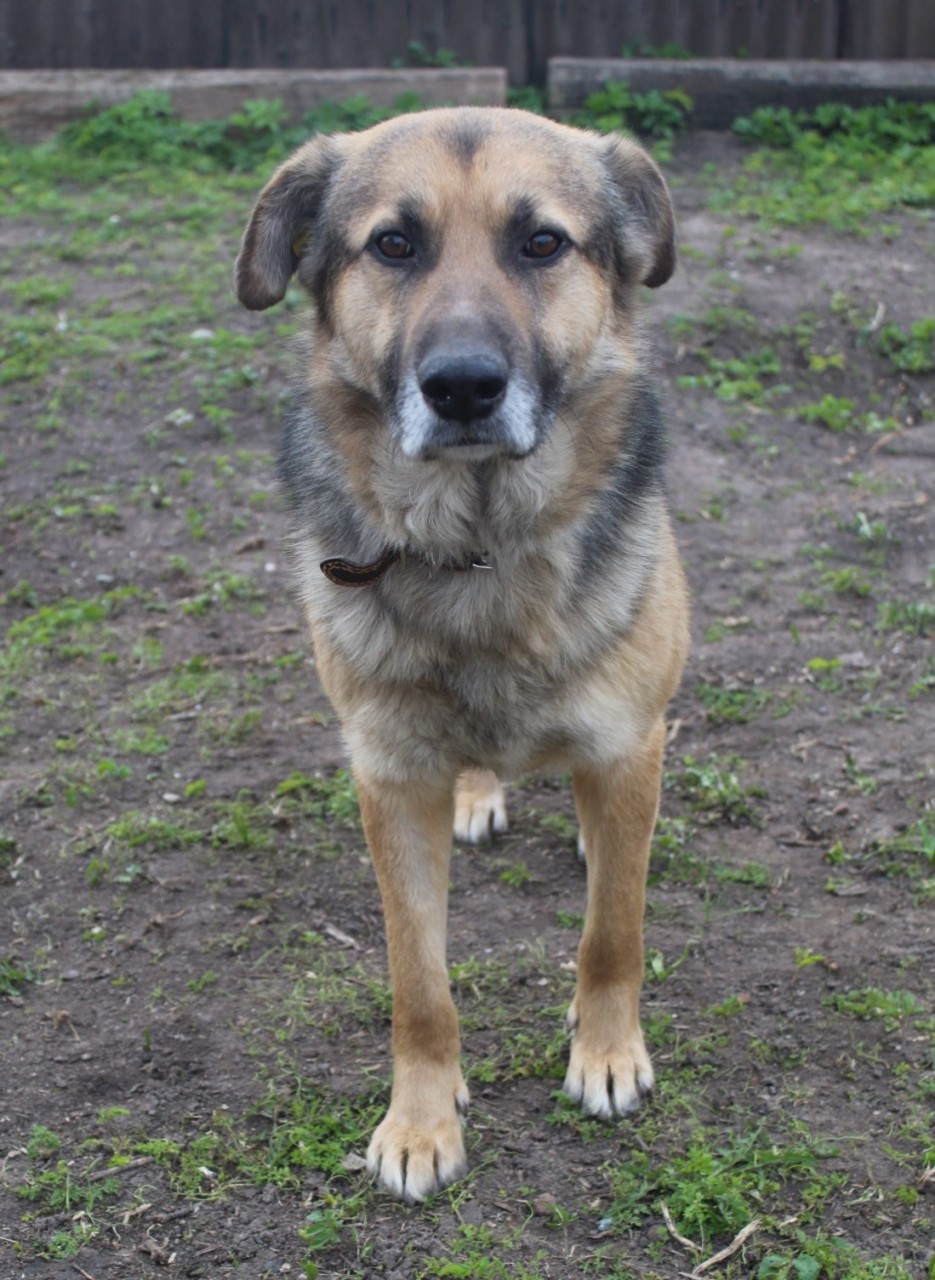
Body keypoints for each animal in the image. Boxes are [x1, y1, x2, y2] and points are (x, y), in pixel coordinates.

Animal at [235, 106, 689, 1203]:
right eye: (393, 244)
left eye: (542, 243)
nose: (463, 388)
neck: (478, 540)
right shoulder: (391, 779)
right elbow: (419, 981)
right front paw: (419, 1119)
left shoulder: (627, 740)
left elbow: (612, 931)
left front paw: (605, 1053)